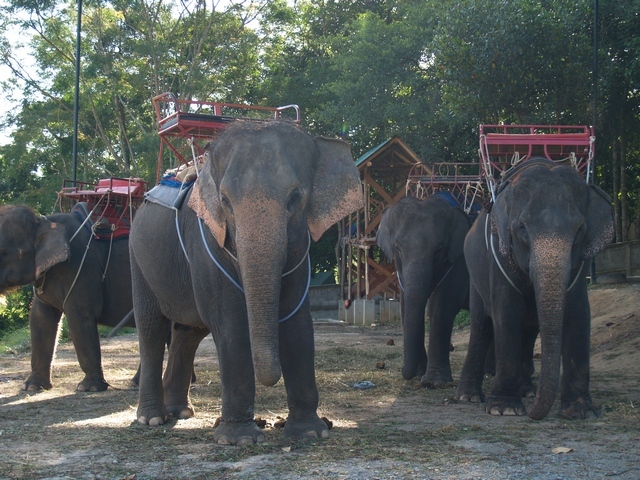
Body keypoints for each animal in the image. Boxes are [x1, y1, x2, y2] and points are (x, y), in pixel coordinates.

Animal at [0, 202, 134, 390]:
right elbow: (40, 318)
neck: (44, 222)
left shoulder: (81, 266)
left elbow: (80, 316)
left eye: (3, 252)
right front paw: (32, 387)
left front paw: (89, 388)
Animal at [129, 122, 364, 444]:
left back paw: (181, 412)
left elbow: (298, 323)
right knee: (151, 329)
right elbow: (231, 323)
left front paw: (309, 432)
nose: (271, 420)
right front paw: (239, 438)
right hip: (138, 261)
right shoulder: (206, 241)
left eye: (295, 198)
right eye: (225, 201)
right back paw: (152, 418)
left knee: (187, 332)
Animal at [376, 194, 470, 386]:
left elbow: (441, 307)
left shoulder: (458, 263)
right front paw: (420, 374)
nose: (403, 372)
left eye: (439, 250)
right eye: (397, 248)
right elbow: (405, 307)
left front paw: (433, 382)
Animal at [456, 158, 616, 420]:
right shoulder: (499, 258)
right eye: (522, 229)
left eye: (579, 231)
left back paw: (528, 391)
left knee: (529, 330)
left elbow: (579, 314)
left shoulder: (579, 267)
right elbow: (507, 314)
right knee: (481, 325)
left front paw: (582, 412)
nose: (534, 413)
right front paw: (505, 409)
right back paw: (468, 397)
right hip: (474, 278)